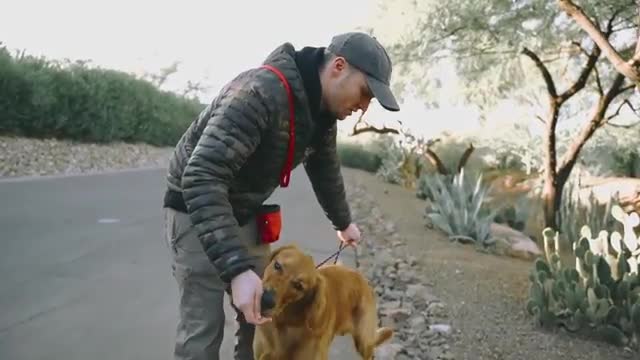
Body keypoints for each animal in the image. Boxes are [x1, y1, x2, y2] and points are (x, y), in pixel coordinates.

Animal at [252, 243, 392, 358]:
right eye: (277, 265)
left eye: (299, 286)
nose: (265, 300)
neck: (286, 323)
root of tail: (361, 278)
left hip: (364, 341)